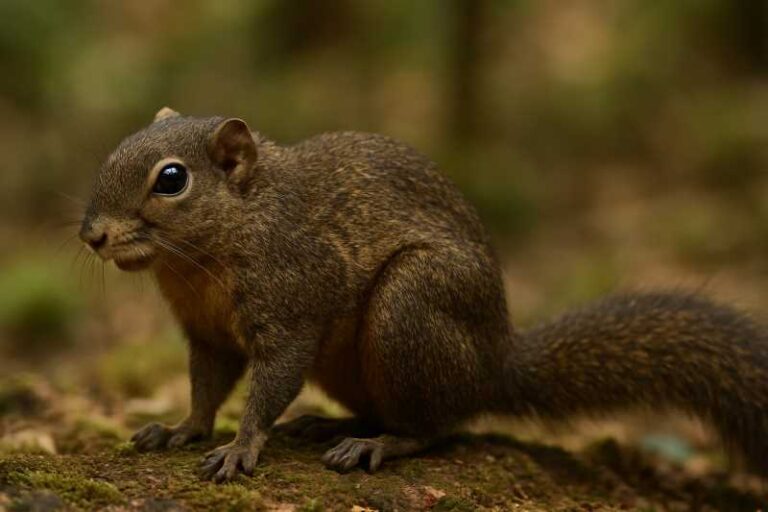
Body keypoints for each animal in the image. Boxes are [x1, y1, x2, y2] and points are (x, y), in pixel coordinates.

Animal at [79, 107, 768, 482]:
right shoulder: (208, 335)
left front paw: (242, 445)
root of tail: (496, 365)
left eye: (172, 179)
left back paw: (377, 444)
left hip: (410, 308)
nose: (92, 235)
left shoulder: (294, 295)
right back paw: (332, 423)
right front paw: (183, 429)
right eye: (113, 151)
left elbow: (270, 381)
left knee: (437, 426)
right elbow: (206, 385)